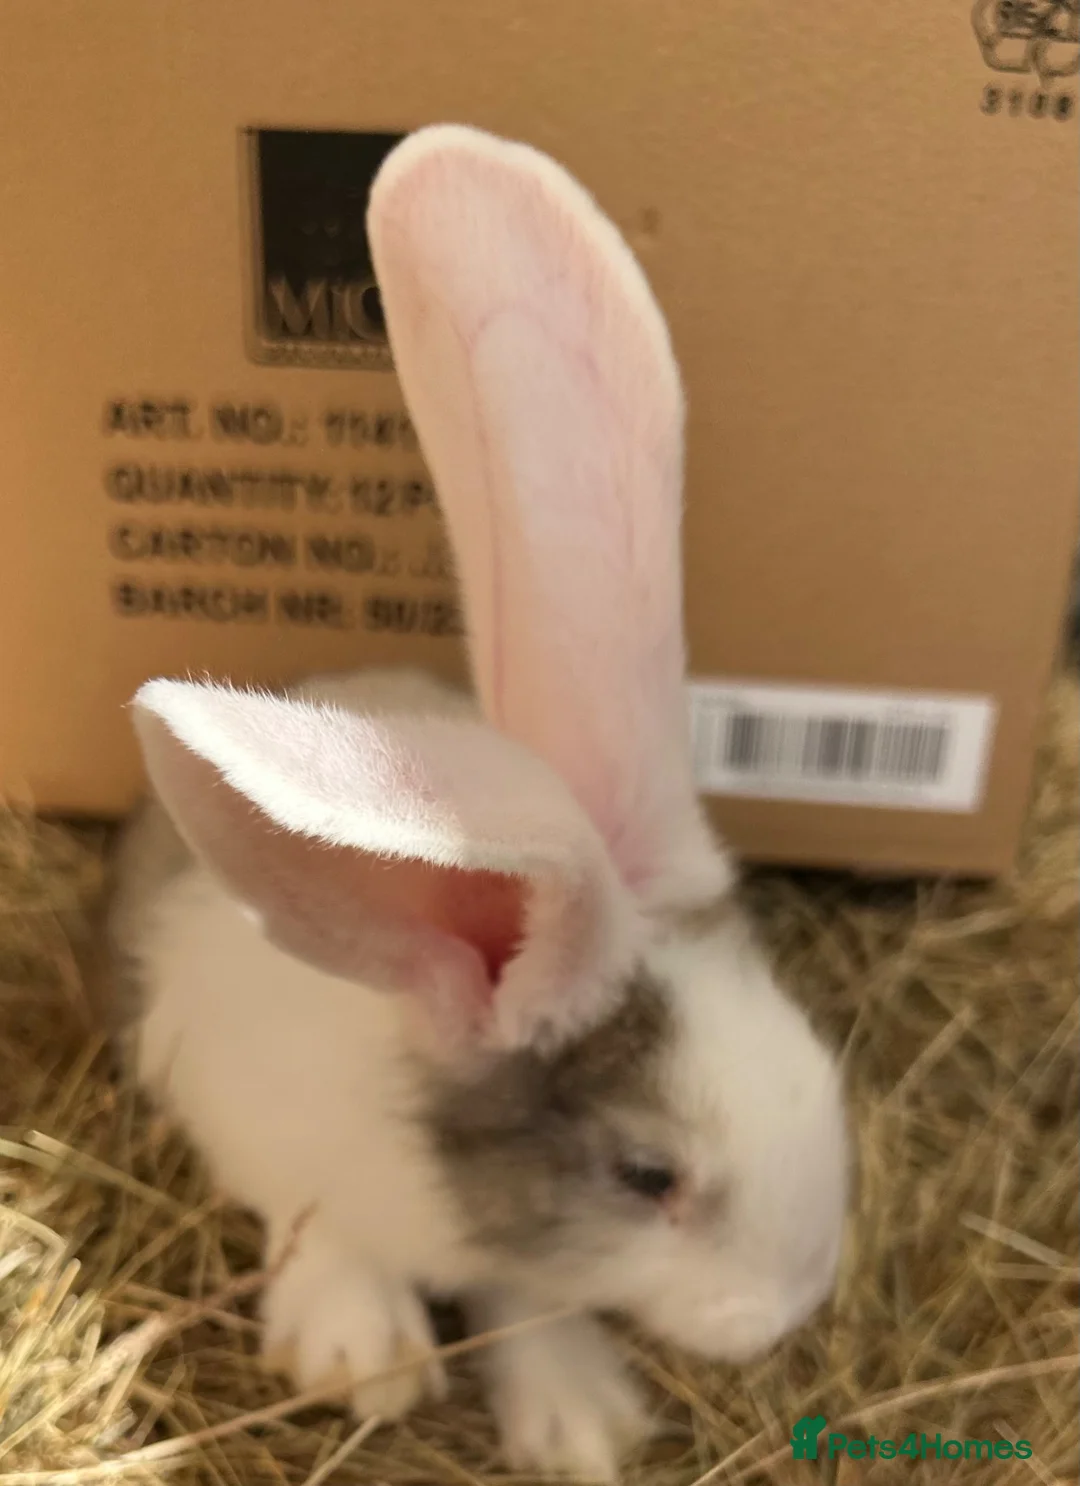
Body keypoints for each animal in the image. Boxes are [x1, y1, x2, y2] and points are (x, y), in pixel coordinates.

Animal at [108, 124, 850, 1483]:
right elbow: (320, 1228)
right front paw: (362, 1359)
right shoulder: (254, 1126)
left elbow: (532, 1300)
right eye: (647, 1174)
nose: (788, 1308)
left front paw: (581, 1424)